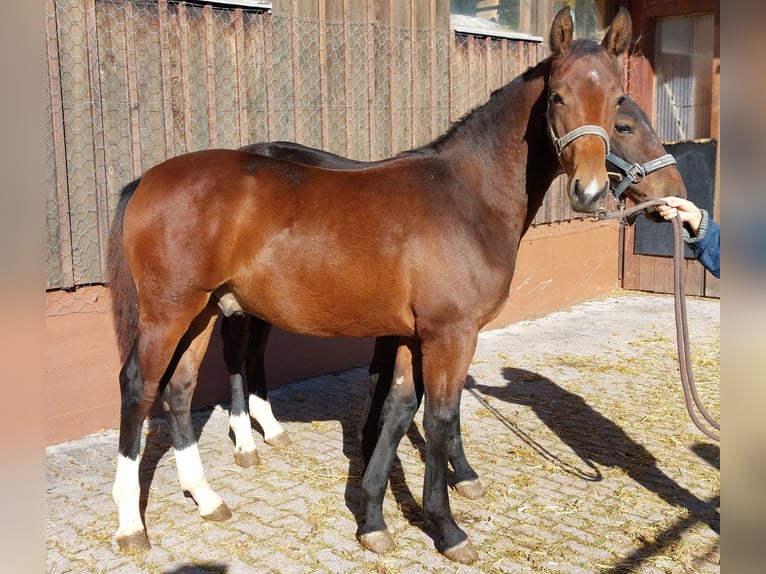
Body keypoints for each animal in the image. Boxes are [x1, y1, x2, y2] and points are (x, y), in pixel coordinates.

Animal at [106, 7, 633, 564]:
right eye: (557, 96)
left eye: (618, 98)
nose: (589, 191)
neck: (468, 196)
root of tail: (145, 180)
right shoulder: (450, 334)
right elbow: (440, 420)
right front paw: (447, 528)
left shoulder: (409, 335)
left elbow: (399, 412)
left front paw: (374, 520)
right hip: (169, 312)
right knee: (138, 387)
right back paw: (131, 523)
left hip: (204, 310)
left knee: (179, 390)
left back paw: (206, 498)